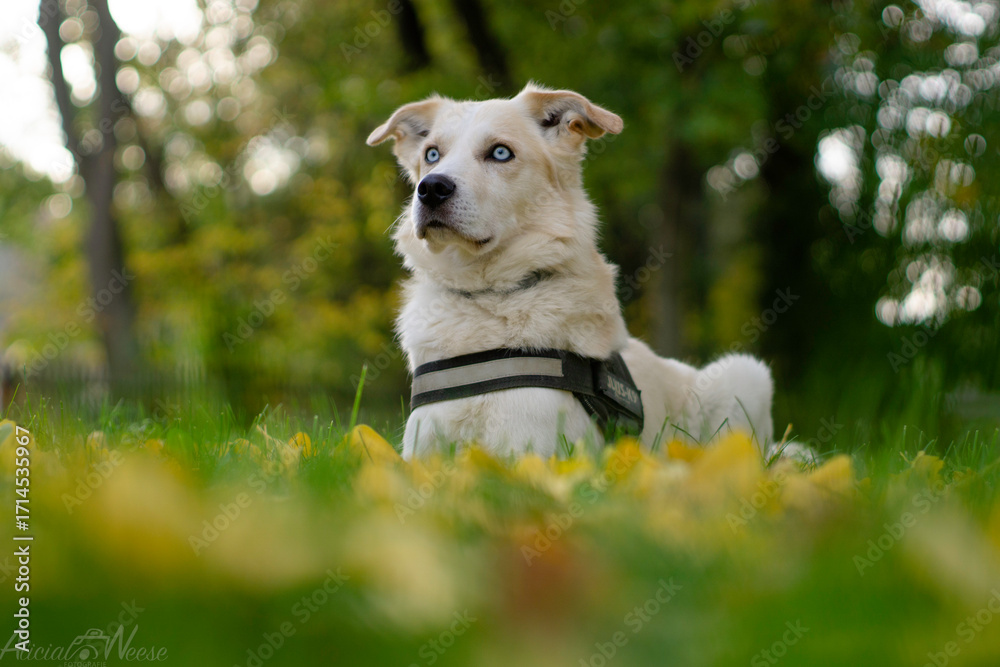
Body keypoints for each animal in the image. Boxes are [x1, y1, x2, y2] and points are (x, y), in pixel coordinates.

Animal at [368, 83, 776, 460]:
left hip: (746, 375)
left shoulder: (535, 453)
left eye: (500, 152)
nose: (431, 189)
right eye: (431, 155)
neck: (487, 298)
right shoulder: (419, 453)